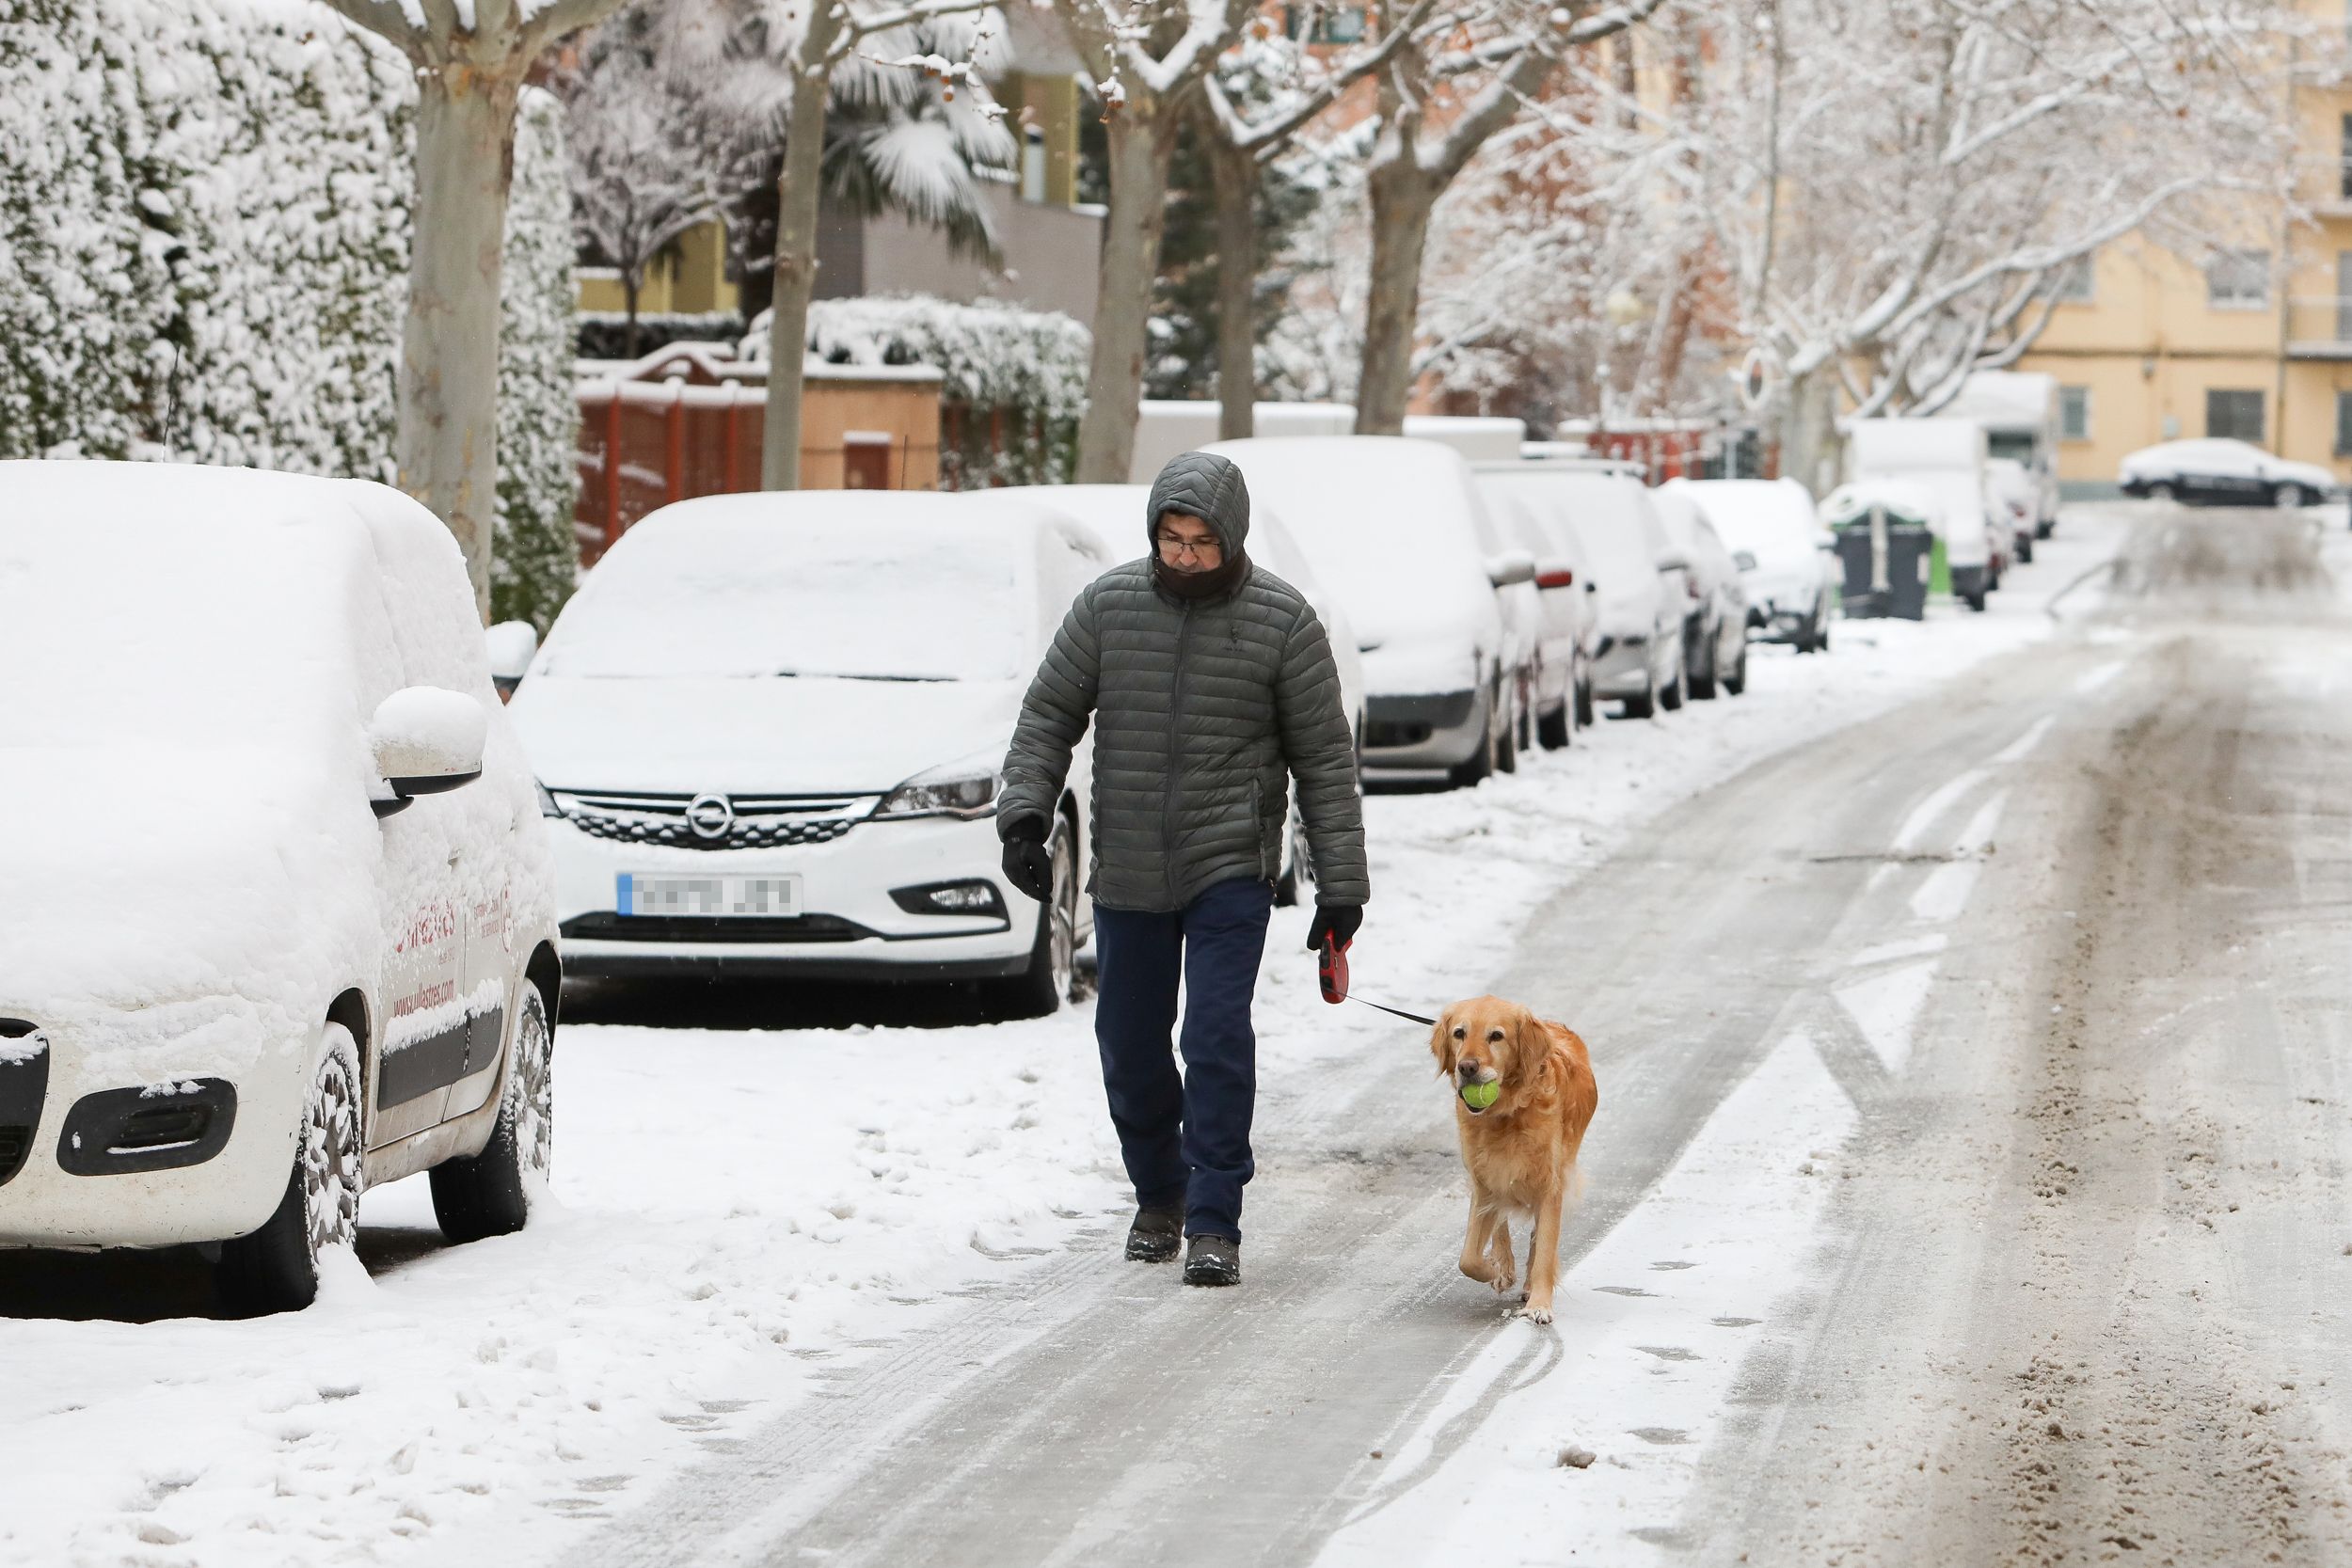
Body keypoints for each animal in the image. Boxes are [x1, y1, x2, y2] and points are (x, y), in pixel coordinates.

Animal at [1430, 1001, 1599, 1316]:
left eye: (1496, 1036)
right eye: (1459, 1033)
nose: (1467, 1067)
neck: (1506, 1114)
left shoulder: (1550, 1184)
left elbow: (1544, 1247)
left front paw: (1539, 1304)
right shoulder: (1483, 1181)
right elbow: (1468, 1258)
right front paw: (1495, 1270)